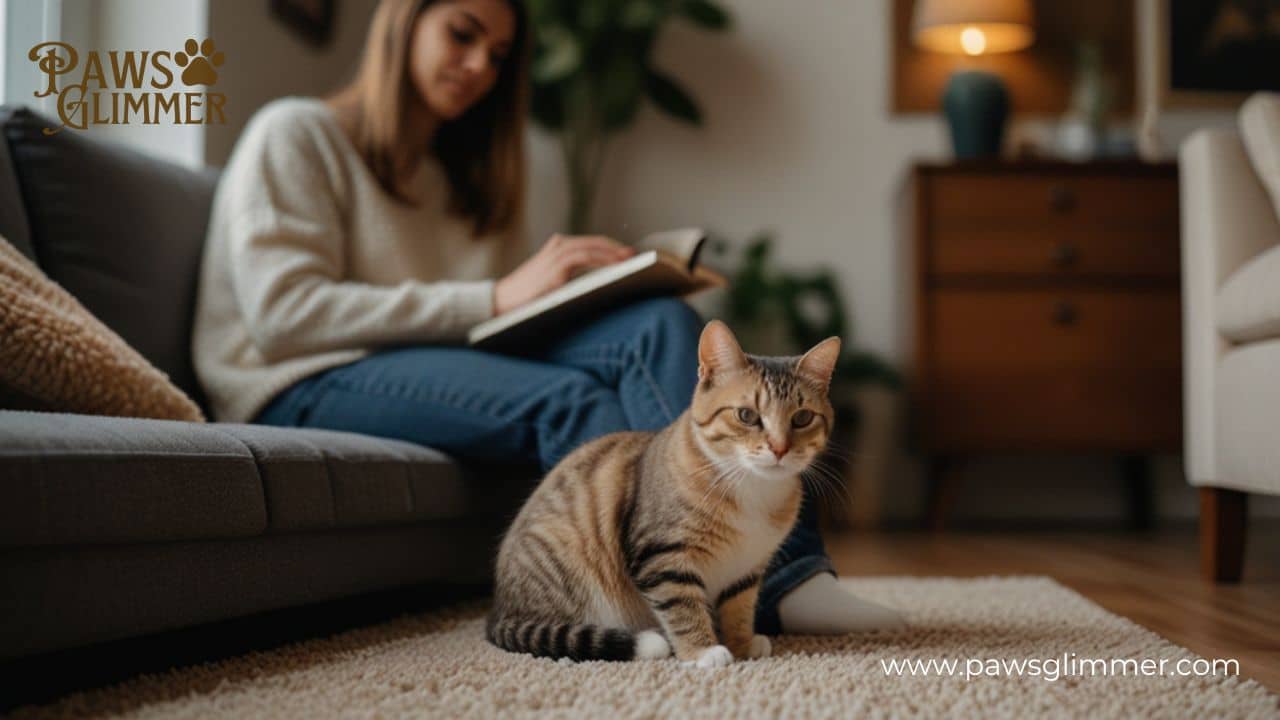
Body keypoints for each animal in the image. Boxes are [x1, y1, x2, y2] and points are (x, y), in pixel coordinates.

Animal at [483, 319, 834, 666]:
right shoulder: (662, 555)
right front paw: (702, 651)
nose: (780, 448)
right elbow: (682, 606)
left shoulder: (747, 567)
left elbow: (739, 608)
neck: (750, 486)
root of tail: (500, 611)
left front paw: (742, 644)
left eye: (802, 417)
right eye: (747, 415)